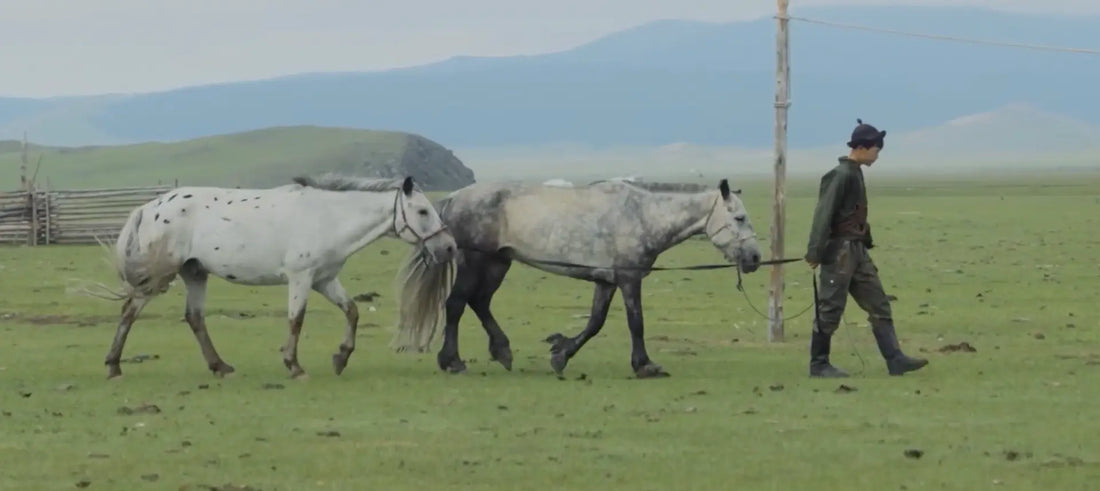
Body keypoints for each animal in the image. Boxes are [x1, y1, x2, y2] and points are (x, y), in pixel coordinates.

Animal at [85, 174, 457, 379]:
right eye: (422, 211)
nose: (450, 247)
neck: (328, 216)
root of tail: (147, 207)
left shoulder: (324, 280)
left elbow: (352, 311)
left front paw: (340, 358)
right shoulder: (301, 277)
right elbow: (296, 320)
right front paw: (295, 366)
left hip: (195, 273)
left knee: (194, 318)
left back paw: (220, 367)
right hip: (160, 276)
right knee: (129, 312)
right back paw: (113, 367)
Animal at [390, 178, 763, 378]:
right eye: (740, 218)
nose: (756, 258)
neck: (643, 216)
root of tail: (455, 198)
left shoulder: (606, 281)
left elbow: (595, 323)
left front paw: (561, 354)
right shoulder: (629, 279)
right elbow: (636, 323)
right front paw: (645, 365)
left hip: (498, 263)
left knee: (479, 303)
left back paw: (502, 350)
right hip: (475, 262)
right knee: (456, 304)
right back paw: (452, 361)